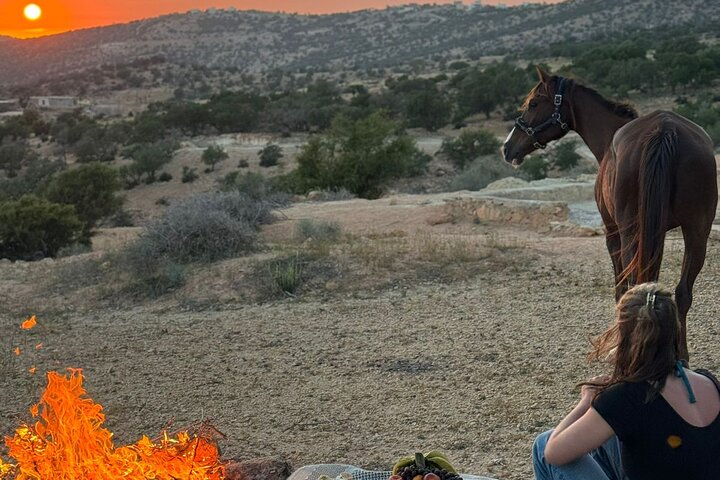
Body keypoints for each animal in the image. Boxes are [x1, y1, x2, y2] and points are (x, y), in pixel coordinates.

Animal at [502, 68, 718, 361]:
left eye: (533, 103)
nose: (507, 147)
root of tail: (665, 130)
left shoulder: (612, 233)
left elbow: (620, 287)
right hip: (697, 231)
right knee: (682, 292)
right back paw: (679, 354)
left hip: (630, 231)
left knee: (635, 285)